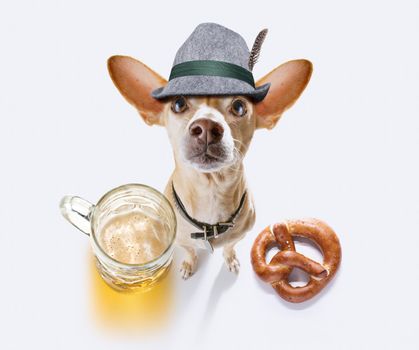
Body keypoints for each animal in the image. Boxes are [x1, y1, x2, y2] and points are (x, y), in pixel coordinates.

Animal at [107, 23, 312, 278]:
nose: (206, 127)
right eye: (178, 103)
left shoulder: (240, 235)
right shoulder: (181, 240)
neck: (210, 192)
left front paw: (230, 259)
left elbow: (230, 246)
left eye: (239, 106)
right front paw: (188, 264)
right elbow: (190, 250)